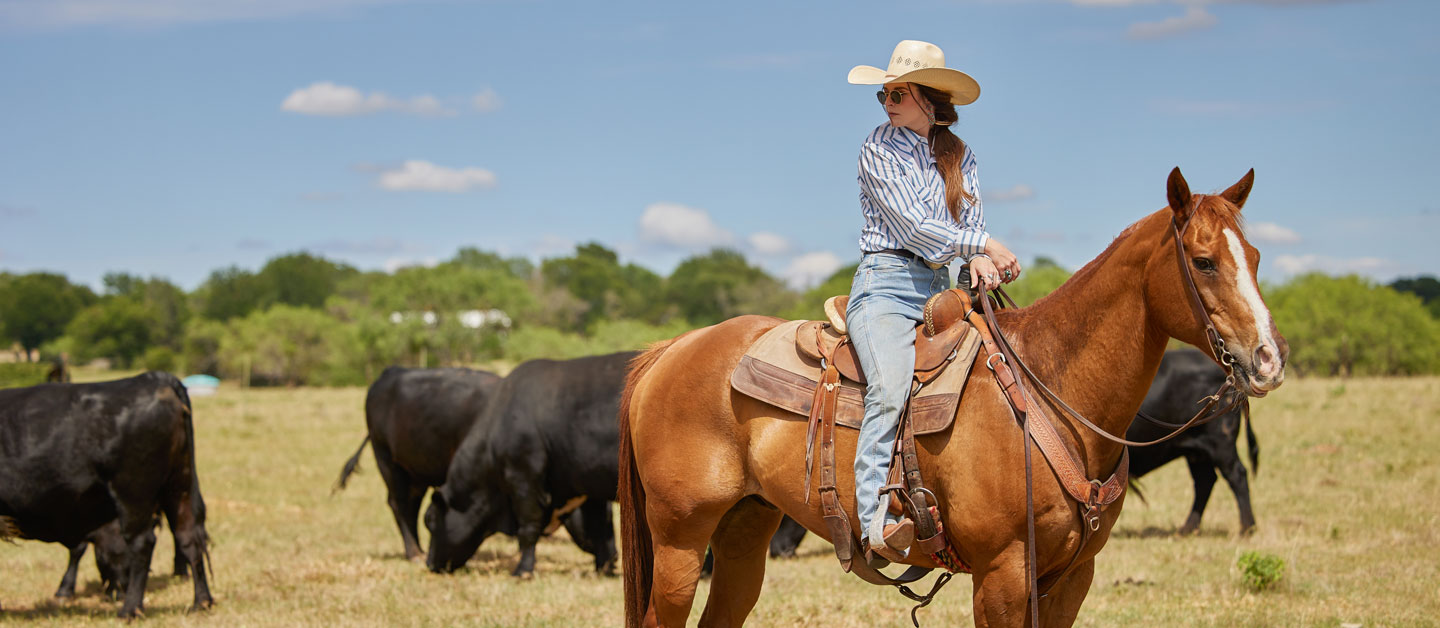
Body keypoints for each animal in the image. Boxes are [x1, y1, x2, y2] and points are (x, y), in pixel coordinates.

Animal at [0, 371, 211, 619]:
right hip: (180, 487)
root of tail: (152, 378)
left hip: (133, 494)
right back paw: (201, 602)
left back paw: (130, 609)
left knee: (142, 544)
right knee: (188, 537)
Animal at [334, 365, 504, 561]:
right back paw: (413, 552)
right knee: (398, 503)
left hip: (416, 471)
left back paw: (419, 550)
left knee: (412, 505)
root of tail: (391, 371)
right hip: (386, 459)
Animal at [423, 351, 633, 576]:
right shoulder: (587, 486)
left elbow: (528, 528)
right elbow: (599, 527)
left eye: (430, 521)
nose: (429, 563)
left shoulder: (524, 480)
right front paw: (603, 569)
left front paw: (523, 570)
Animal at [1128, 348, 1255, 535]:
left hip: (1221, 443)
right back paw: (1187, 528)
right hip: (1197, 451)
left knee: (1236, 475)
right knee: (1205, 481)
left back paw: (1246, 528)